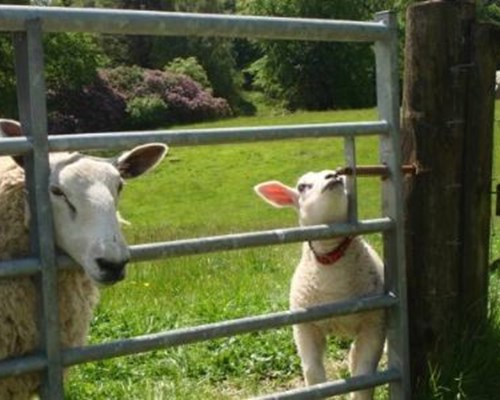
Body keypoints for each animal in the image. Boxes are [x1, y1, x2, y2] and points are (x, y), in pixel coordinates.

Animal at [254, 170, 386, 400]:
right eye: (301, 186)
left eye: (341, 177)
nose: (333, 177)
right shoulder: (305, 326)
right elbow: (313, 375)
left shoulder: (374, 322)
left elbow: (364, 377)